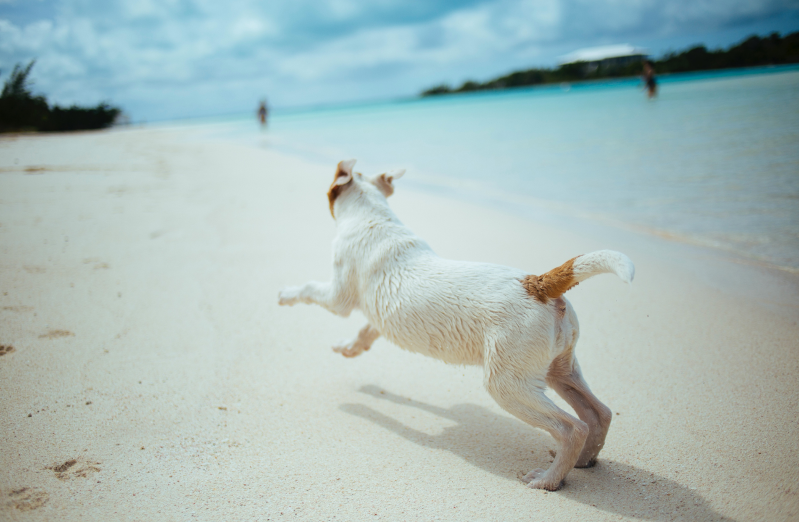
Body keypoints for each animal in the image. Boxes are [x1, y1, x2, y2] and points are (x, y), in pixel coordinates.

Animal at [278, 157, 636, 488]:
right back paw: (584, 461)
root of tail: (537, 284)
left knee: (571, 427)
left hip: (508, 384)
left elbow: (310, 289)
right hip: (559, 369)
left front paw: (285, 294)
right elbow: (367, 331)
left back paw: (548, 479)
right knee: (598, 413)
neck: (372, 216)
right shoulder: (380, 314)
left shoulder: (338, 297)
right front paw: (349, 348)